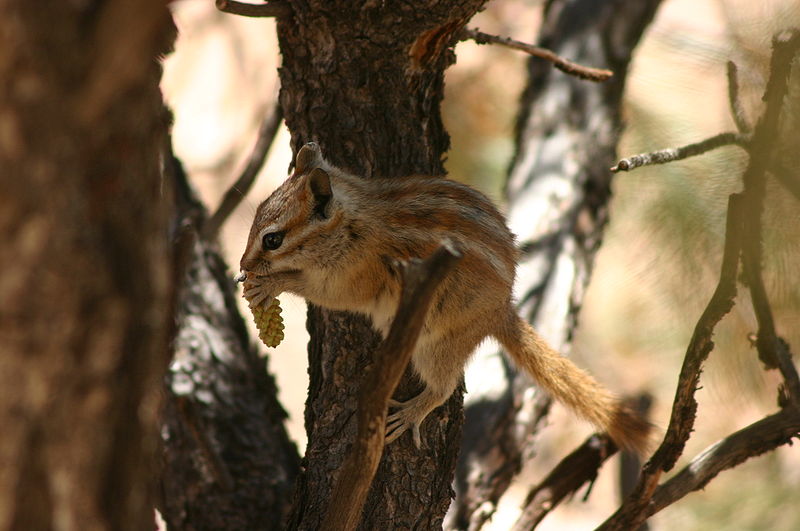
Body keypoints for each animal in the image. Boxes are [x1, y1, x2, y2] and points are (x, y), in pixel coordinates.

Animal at [239, 143, 648, 456]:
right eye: (255, 215)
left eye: (272, 239)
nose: (243, 265)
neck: (353, 221)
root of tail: (500, 311)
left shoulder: (354, 276)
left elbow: (324, 293)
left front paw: (270, 283)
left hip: (436, 343)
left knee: (442, 387)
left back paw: (410, 413)